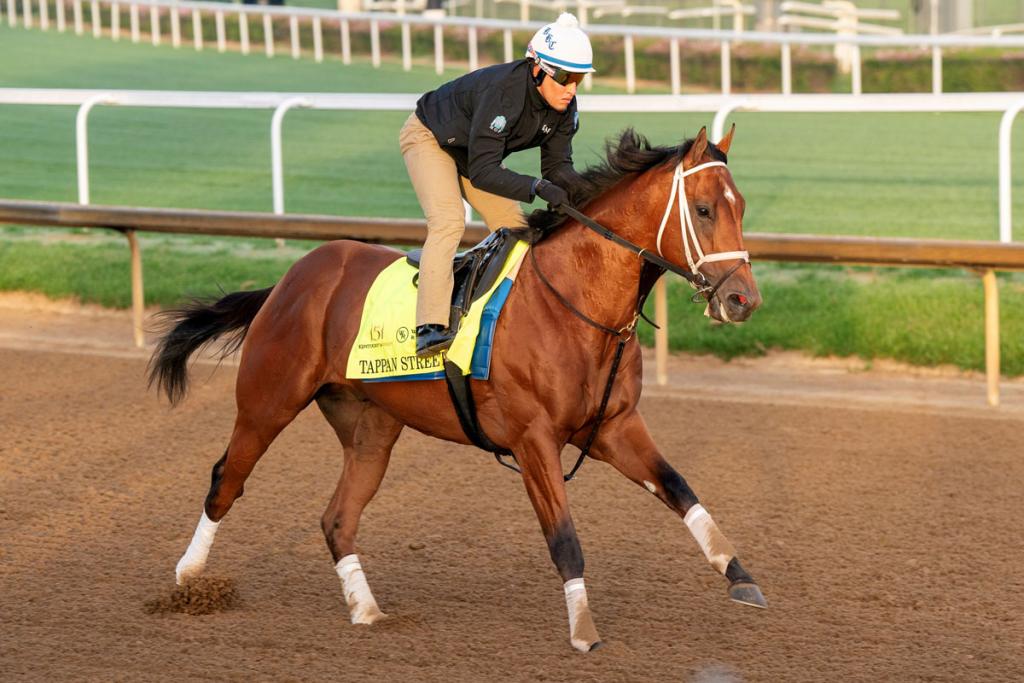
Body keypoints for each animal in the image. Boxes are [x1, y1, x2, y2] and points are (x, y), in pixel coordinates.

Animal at [149, 126, 764, 652]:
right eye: (704, 209)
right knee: (226, 480)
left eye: (741, 206)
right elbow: (565, 539)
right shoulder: (533, 440)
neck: (574, 302)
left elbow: (681, 489)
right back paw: (189, 581)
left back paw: (367, 610)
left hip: (371, 429)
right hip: (268, 401)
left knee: (337, 518)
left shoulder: (613, 427)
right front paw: (584, 631)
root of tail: (291, 277)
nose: (743, 301)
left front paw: (740, 576)